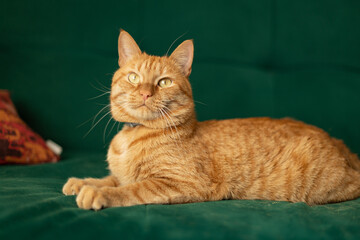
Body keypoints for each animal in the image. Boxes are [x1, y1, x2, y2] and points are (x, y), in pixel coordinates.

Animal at [63, 30, 360, 210]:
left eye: (164, 82)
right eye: (134, 77)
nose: (146, 92)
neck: (131, 138)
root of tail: (342, 145)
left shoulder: (178, 183)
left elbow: (131, 189)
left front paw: (97, 194)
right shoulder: (122, 175)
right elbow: (110, 178)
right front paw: (82, 182)